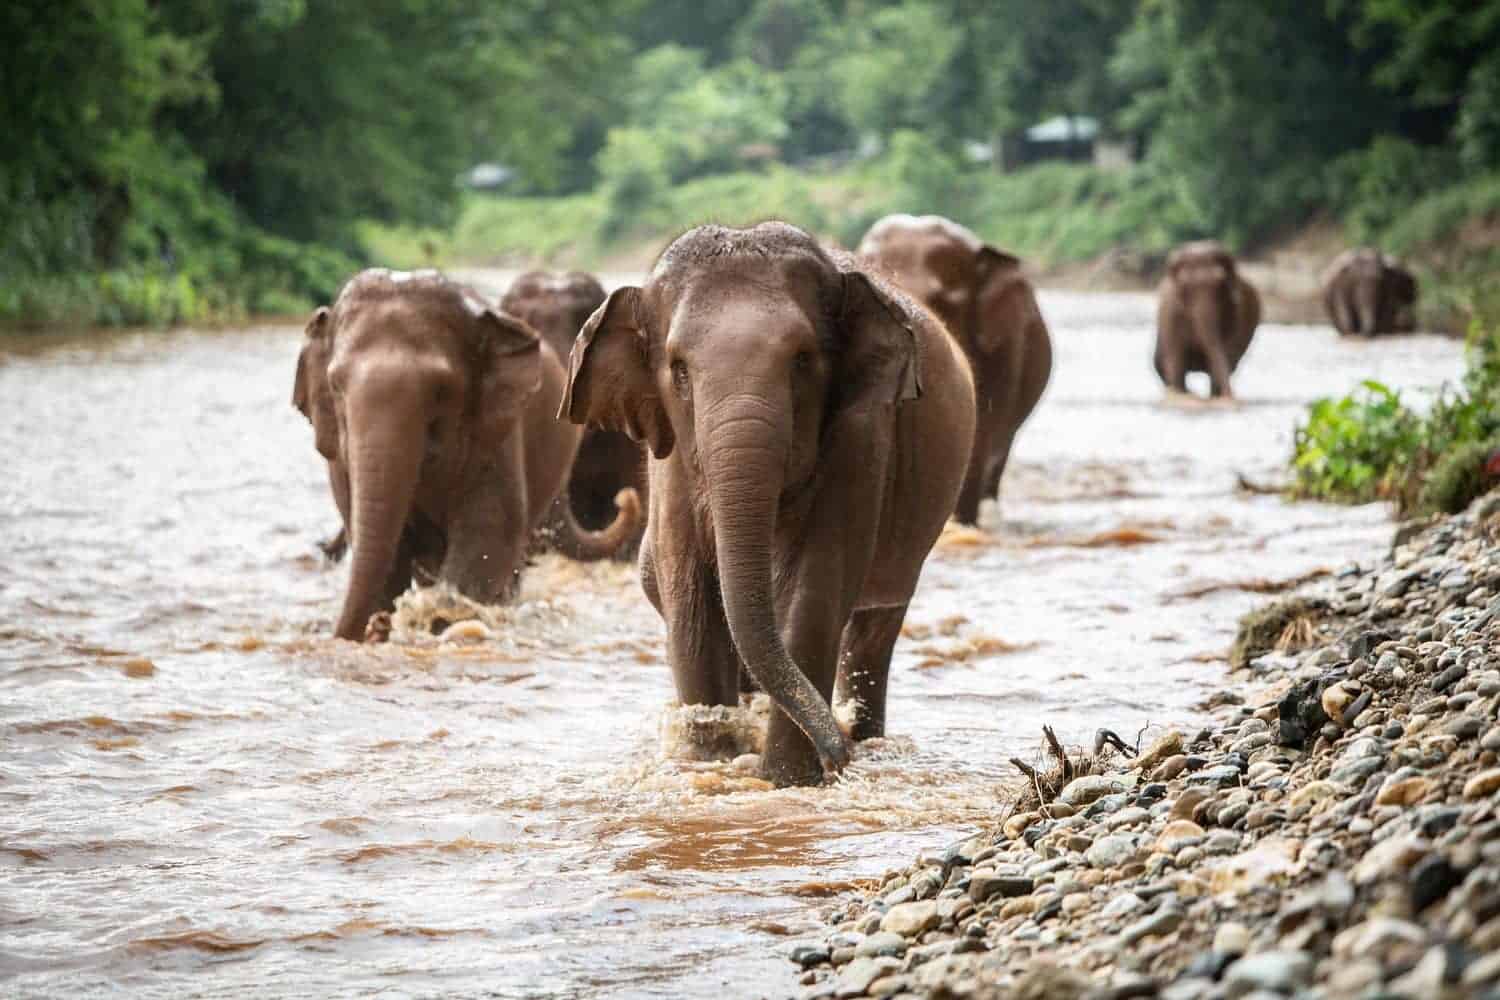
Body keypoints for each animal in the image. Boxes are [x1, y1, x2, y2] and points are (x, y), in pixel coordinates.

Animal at [561, 222, 976, 786]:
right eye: (679, 370)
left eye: (802, 360)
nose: (838, 755)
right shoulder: (671, 460)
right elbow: (690, 594)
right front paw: (708, 761)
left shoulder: (862, 437)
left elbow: (817, 586)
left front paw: (786, 779)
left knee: (875, 627)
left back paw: (863, 736)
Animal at [1154, 241, 1261, 399]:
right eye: (1185, 286)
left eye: (1220, 282)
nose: (1233, 398)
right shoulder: (1172, 313)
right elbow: (1176, 361)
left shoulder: (1237, 312)